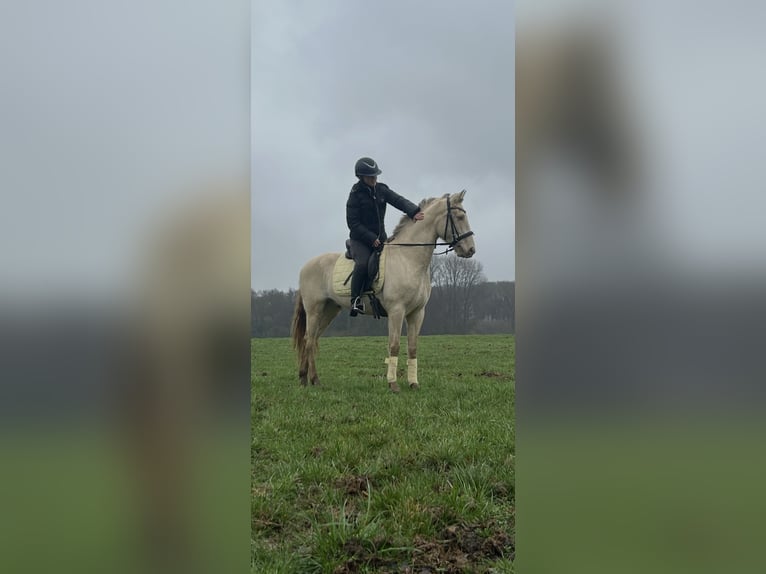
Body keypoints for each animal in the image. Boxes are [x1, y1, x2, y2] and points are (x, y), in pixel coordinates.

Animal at [290, 189, 476, 392]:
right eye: (459, 217)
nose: (470, 249)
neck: (408, 259)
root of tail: (305, 266)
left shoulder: (417, 313)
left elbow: (412, 348)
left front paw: (413, 383)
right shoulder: (397, 311)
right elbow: (394, 345)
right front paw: (393, 384)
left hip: (329, 310)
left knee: (311, 339)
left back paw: (306, 378)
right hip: (314, 310)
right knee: (309, 340)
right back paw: (312, 379)